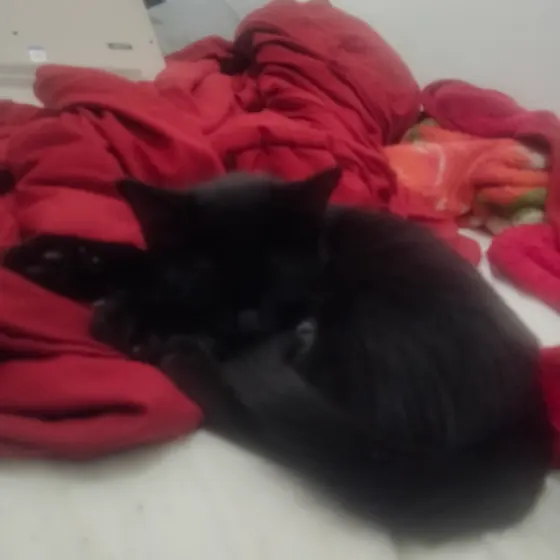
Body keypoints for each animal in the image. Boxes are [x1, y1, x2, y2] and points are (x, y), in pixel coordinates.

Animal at [3, 168, 552, 540]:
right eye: (207, 275)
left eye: (276, 272)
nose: (248, 318)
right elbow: (145, 263)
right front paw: (51, 258)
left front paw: (135, 317)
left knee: (296, 438)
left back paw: (180, 355)